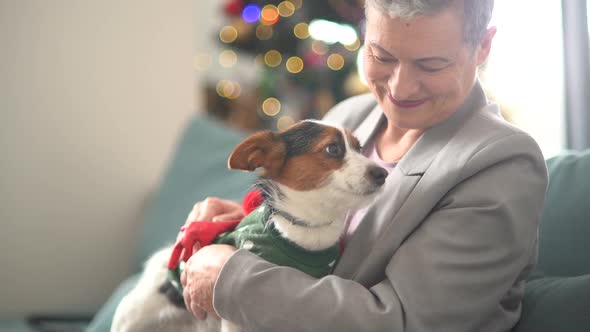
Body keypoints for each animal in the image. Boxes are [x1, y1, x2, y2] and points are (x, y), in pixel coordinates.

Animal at [112, 120, 388, 332]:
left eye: (359, 148)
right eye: (332, 148)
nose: (383, 174)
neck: (308, 228)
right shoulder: (233, 320)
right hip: (131, 316)